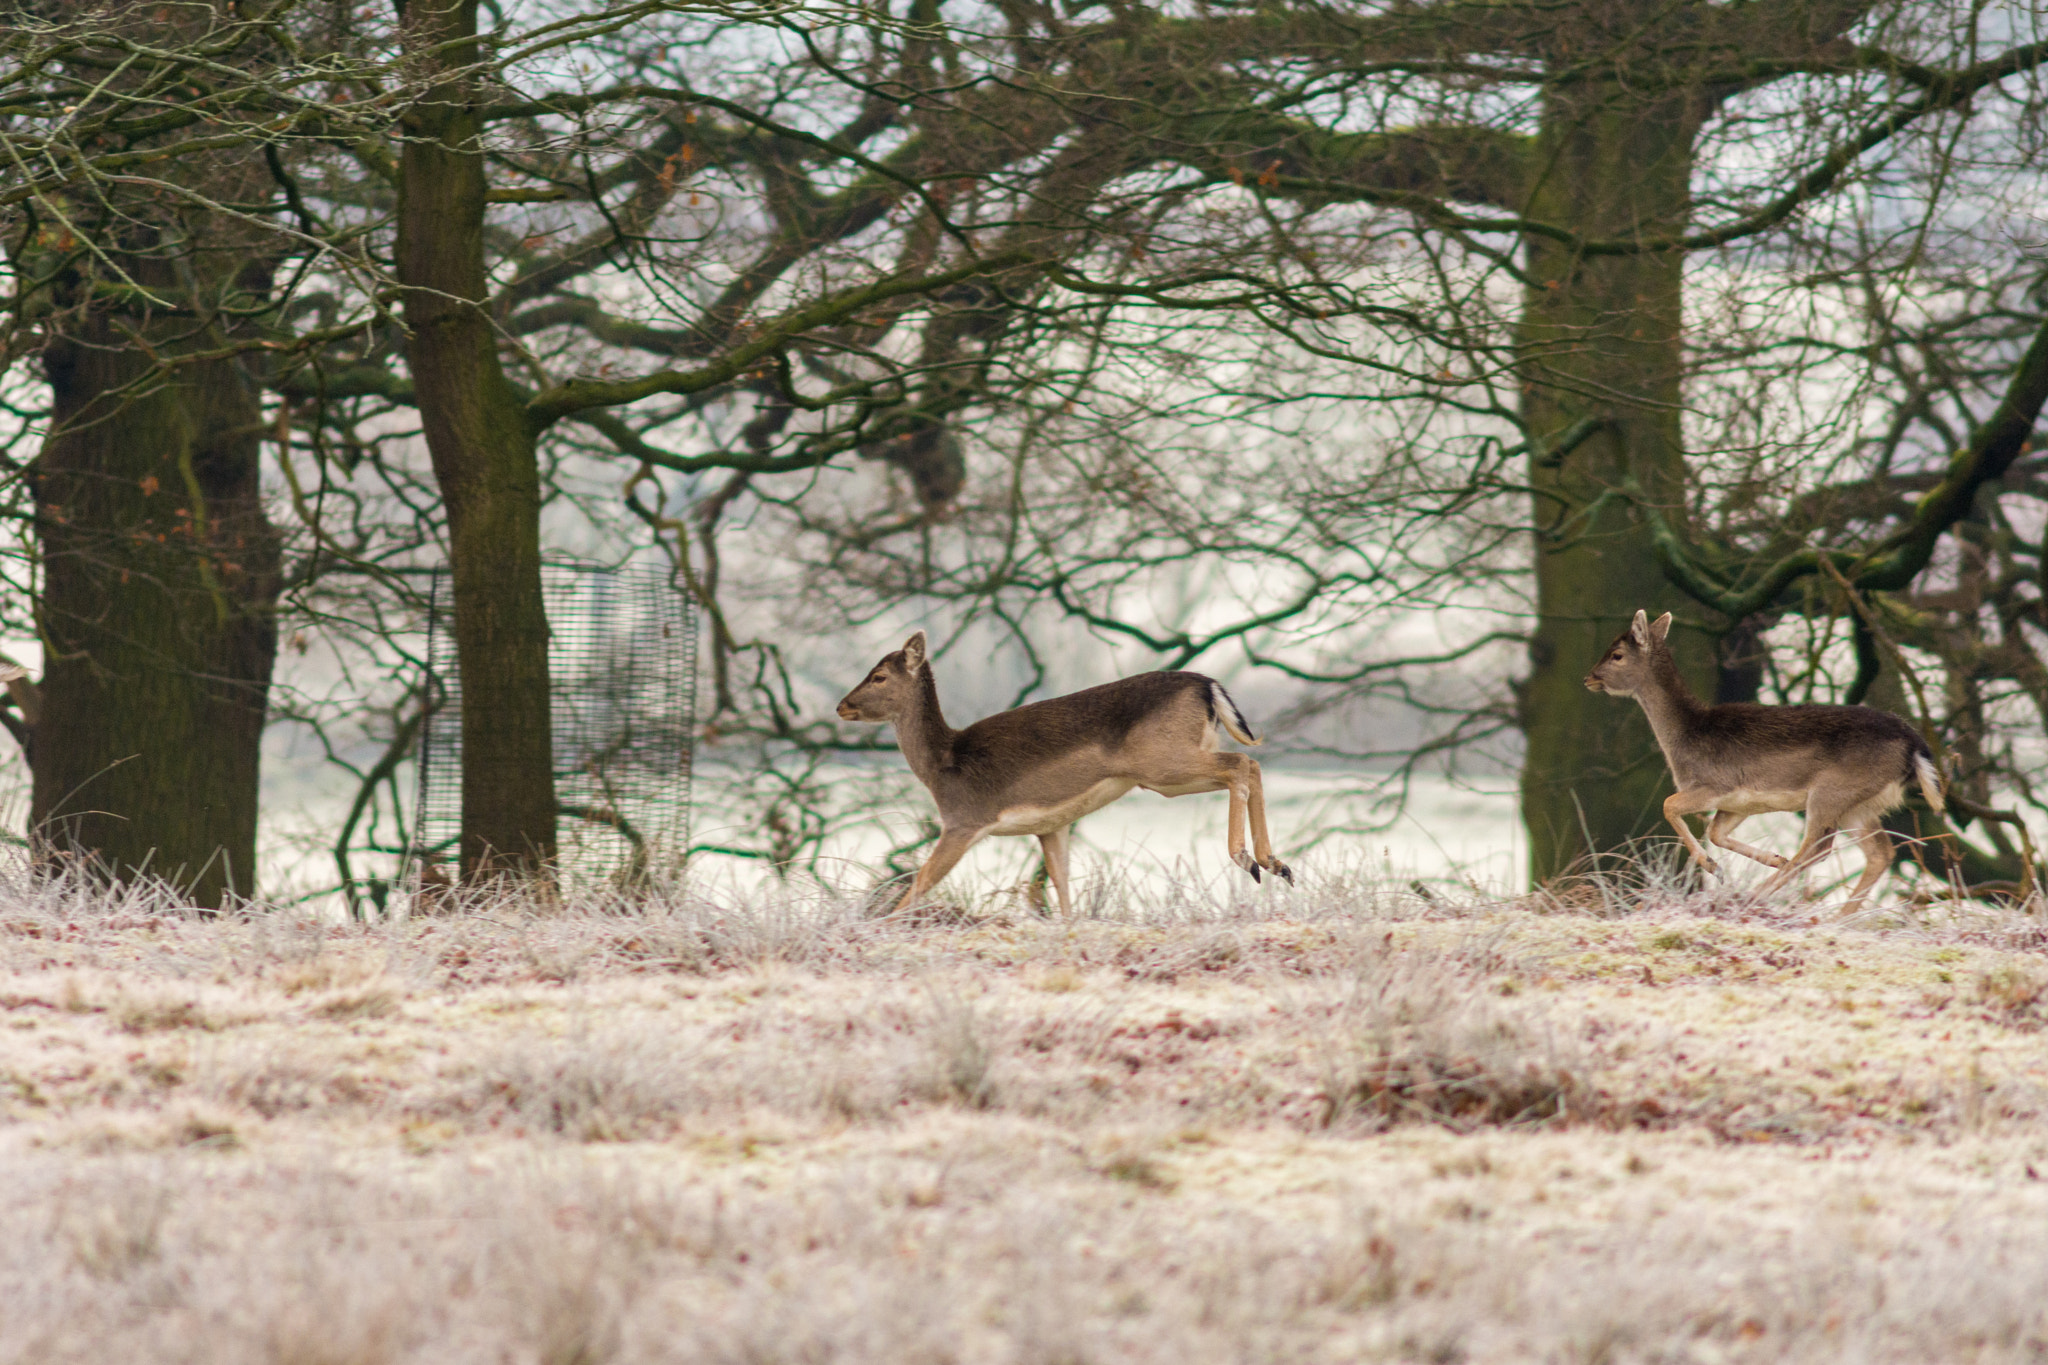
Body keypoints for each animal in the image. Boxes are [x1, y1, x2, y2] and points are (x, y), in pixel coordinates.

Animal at [835, 634, 1294, 916]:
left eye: (879, 676)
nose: (842, 705)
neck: (941, 766)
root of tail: (1208, 684)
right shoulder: (1051, 826)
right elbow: (1060, 884)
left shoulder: (964, 820)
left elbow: (920, 883)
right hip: (1173, 765)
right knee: (1252, 764)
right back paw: (1276, 864)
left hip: (1163, 764)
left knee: (1240, 764)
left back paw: (1248, 859)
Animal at [1581, 609, 1949, 916]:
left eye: (1616, 654)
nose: (1589, 678)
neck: (1685, 737)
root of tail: (1915, 745)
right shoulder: (1739, 803)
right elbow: (1715, 832)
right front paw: (1766, 859)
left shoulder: (1715, 783)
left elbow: (1669, 804)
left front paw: (1713, 866)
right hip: (1860, 804)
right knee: (1880, 853)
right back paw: (1838, 917)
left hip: (1832, 792)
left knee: (1818, 849)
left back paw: (1759, 896)